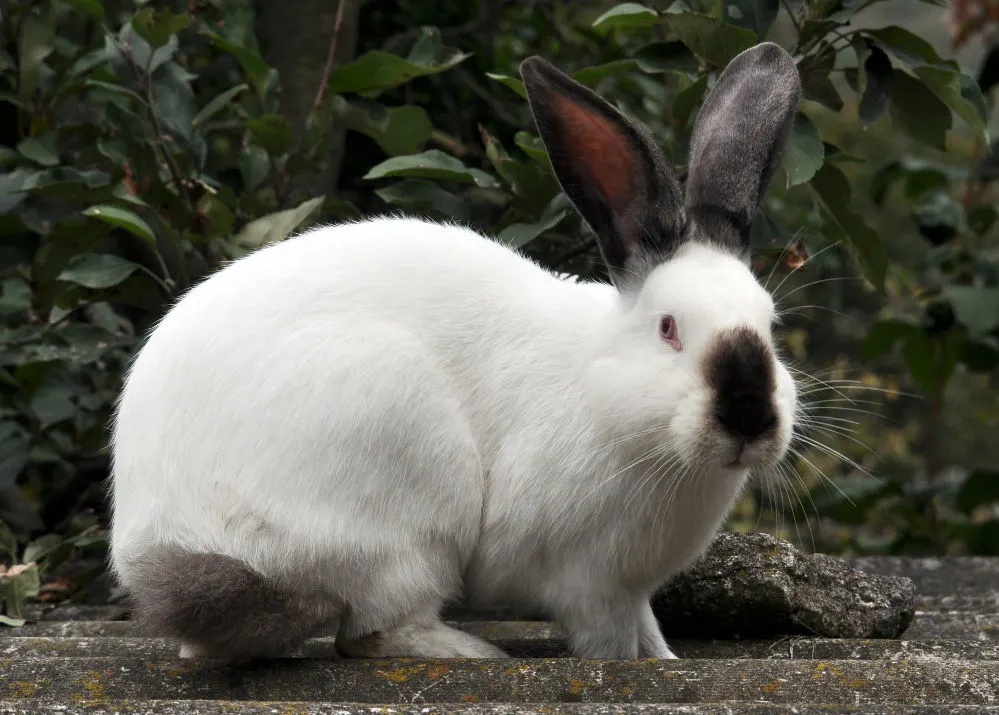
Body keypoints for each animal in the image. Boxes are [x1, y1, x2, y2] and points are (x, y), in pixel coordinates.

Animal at [105, 42, 800, 664]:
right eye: (668, 328)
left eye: (770, 323)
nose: (748, 417)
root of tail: (168, 535)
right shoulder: (588, 580)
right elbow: (607, 642)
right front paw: (630, 665)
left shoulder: (632, 591)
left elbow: (648, 629)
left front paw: (665, 659)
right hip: (406, 494)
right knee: (374, 632)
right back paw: (475, 652)